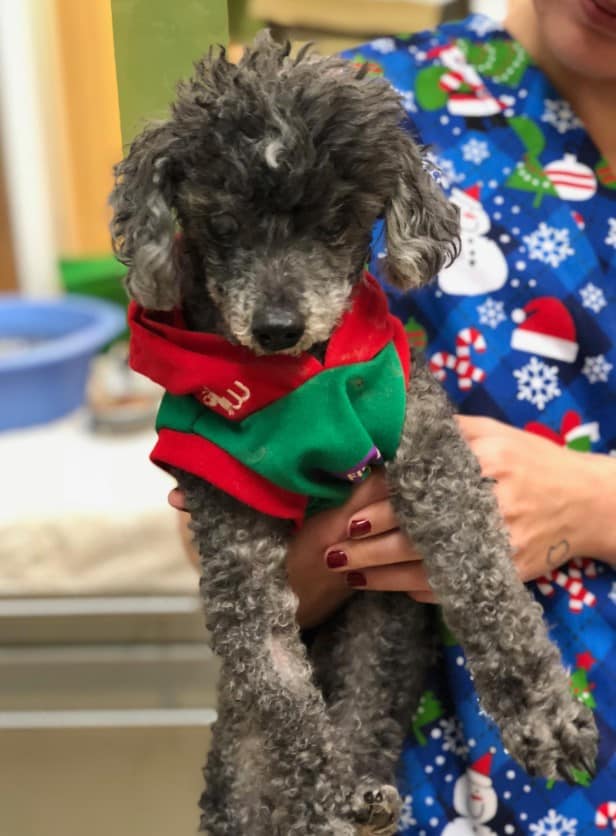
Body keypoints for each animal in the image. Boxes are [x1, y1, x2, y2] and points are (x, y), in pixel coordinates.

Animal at [110, 29, 596, 832]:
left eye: (336, 225)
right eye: (223, 227)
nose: (278, 326)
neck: (299, 384)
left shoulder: (424, 444)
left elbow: (484, 581)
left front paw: (542, 715)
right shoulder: (229, 524)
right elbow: (277, 685)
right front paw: (324, 796)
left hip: (382, 638)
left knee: (367, 708)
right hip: (240, 746)